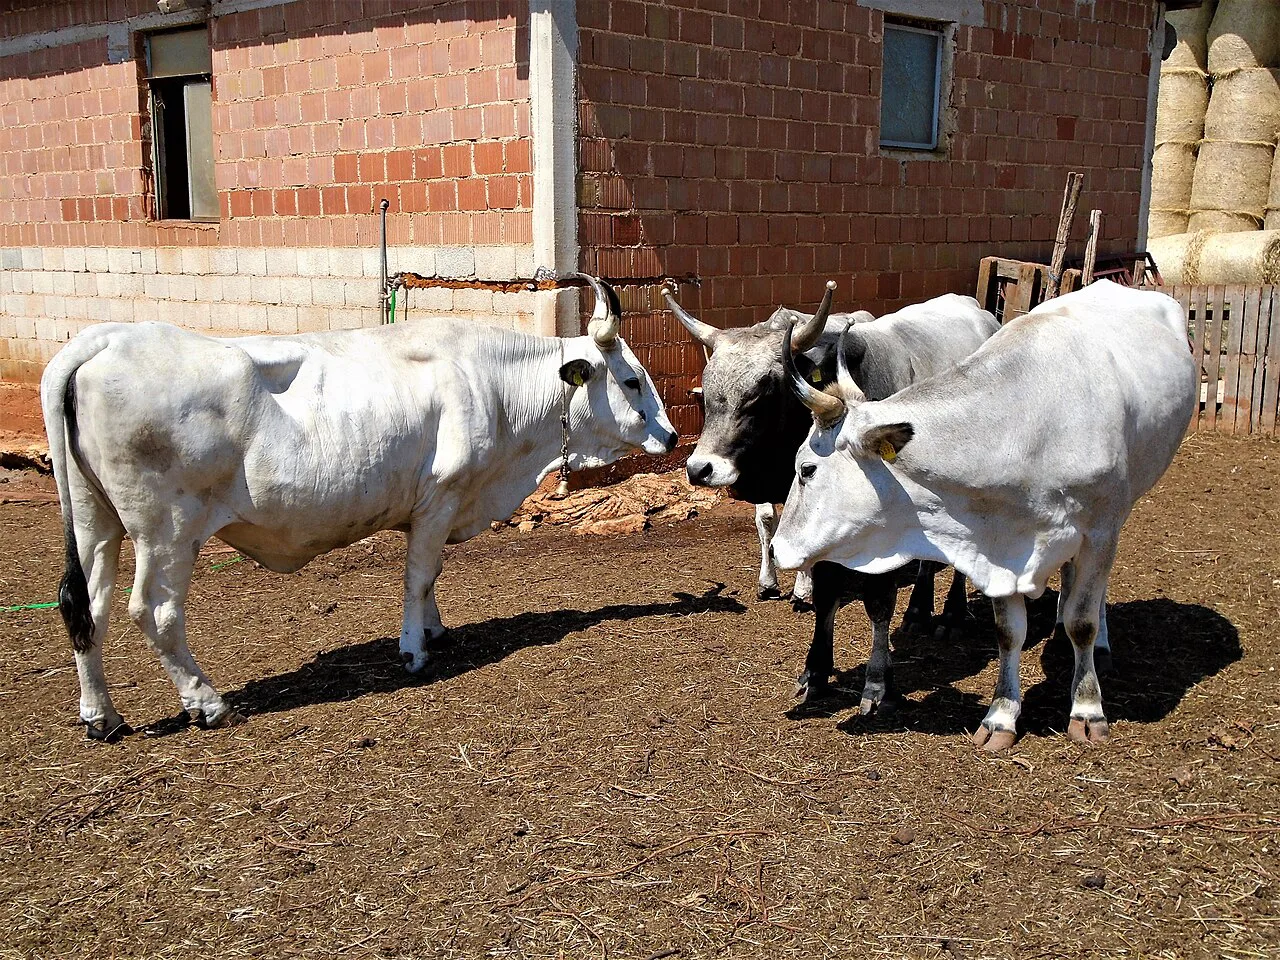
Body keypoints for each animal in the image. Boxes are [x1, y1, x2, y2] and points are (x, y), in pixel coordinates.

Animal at [42, 275, 678, 742]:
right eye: (630, 379)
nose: (672, 437)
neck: (491, 386)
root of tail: (106, 340)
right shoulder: (441, 495)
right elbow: (419, 575)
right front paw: (415, 649)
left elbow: (432, 575)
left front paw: (436, 629)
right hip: (167, 530)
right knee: (154, 611)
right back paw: (208, 701)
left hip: (97, 519)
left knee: (86, 606)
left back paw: (102, 716)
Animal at [664, 281, 999, 711]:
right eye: (707, 389)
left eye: (763, 390)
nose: (700, 468)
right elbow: (824, 591)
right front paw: (816, 670)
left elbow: (878, 602)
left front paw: (877, 682)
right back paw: (919, 610)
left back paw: (951, 615)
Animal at [772, 280, 1197, 751]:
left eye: (807, 469)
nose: (776, 548)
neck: (1024, 430)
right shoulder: (998, 543)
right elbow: (1009, 633)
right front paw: (1001, 717)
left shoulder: (1099, 530)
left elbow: (1082, 622)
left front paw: (1087, 709)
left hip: (1123, 506)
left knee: (1091, 596)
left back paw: (1098, 645)